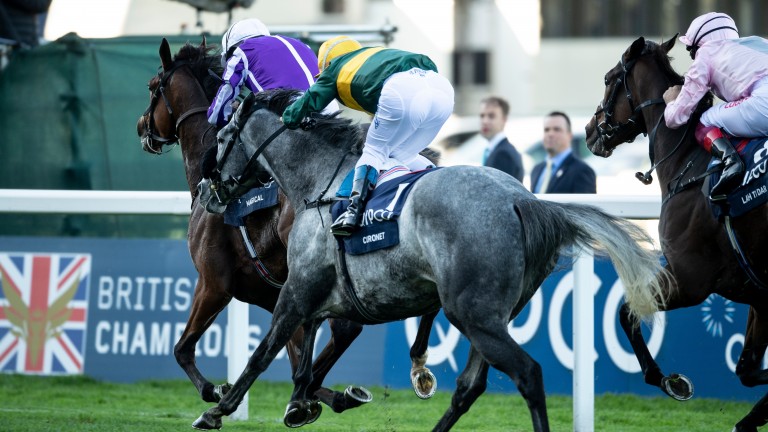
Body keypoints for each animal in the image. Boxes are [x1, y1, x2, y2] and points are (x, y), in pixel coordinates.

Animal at [136, 38, 440, 418]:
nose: (141, 127)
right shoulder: (280, 295)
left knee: (346, 328)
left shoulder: (214, 283)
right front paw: (316, 396)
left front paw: (217, 390)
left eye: (152, 87)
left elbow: (183, 348)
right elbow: (293, 351)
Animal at [192, 89, 664, 430]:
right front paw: (301, 402)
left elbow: (264, 351)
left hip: (472, 313)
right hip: (492, 315)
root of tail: (526, 202)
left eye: (222, 138)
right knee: (470, 386)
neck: (319, 183)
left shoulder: (296, 289)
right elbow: (308, 346)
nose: (204, 189)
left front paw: (217, 409)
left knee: (528, 374)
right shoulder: (323, 293)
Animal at [584, 37, 768, 432]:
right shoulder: (760, 296)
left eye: (608, 78)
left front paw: (669, 380)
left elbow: (626, 312)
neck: (691, 165)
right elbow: (746, 370)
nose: (590, 130)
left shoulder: (690, 278)